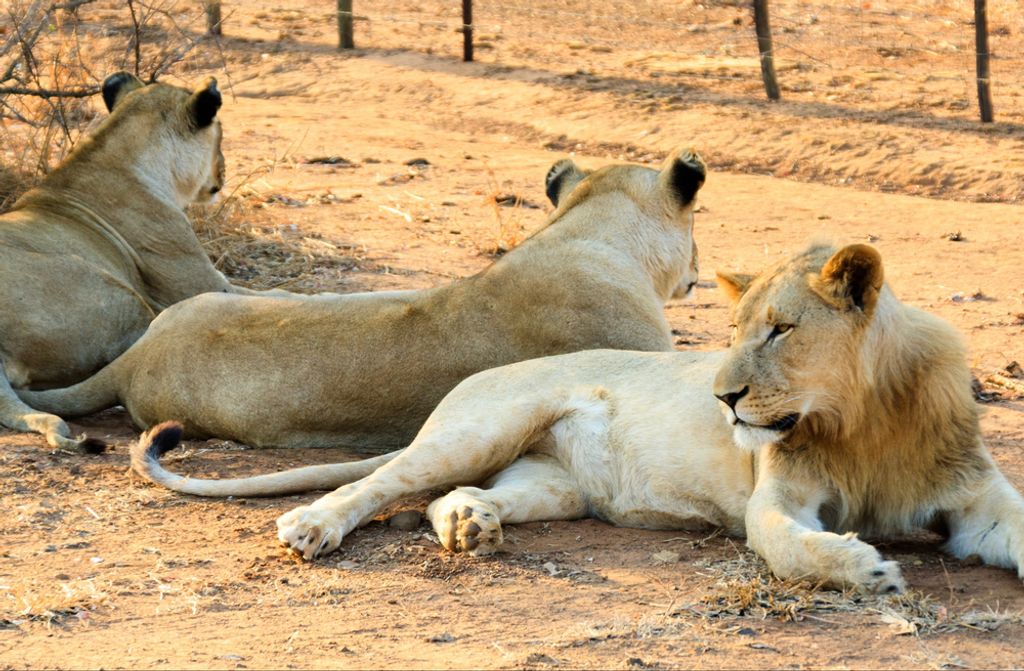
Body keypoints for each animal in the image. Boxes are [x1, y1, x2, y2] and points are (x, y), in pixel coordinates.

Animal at [129, 243, 1024, 593]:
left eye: (780, 330)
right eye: (736, 330)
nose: (723, 398)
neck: (862, 419)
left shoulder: (977, 499)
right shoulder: (776, 500)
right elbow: (791, 543)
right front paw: (866, 568)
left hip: (552, 484)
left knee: (445, 497)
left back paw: (472, 527)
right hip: (482, 423)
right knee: (383, 482)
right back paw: (311, 526)